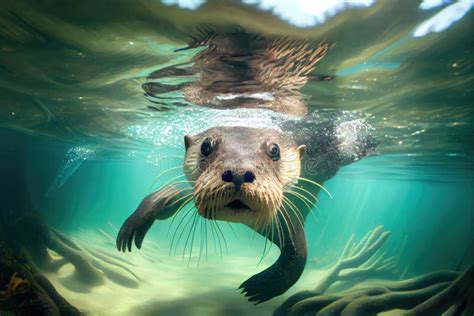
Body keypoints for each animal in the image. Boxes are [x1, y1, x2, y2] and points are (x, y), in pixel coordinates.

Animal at [116, 119, 376, 304]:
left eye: (275, 150)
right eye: (206, 145)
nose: (239, 172)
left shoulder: (288, 217)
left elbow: (299, 256)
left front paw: (259, 287)